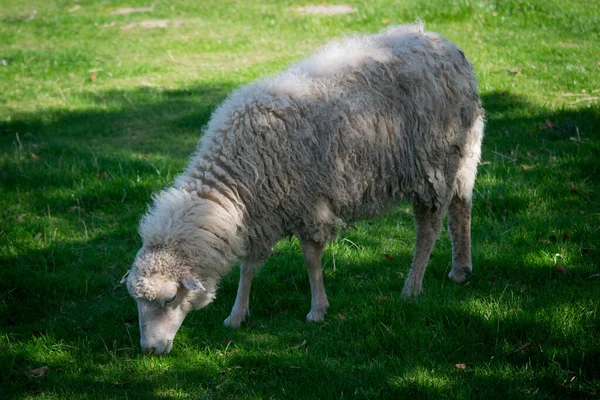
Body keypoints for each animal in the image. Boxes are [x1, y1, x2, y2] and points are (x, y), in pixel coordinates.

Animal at [120, 21, 482, 354]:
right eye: (136, 301)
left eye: (170, 299)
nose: (150, 350)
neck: (233, 179)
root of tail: (442, 44)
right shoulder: (260, 214)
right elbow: (248, 267)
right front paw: (237, 314)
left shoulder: (311, 204)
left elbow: (311, 260)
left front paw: (317, 309)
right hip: (463, 156)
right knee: (462, 207)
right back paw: (461, 269)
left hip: (434, 165)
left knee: (429, 228)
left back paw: (412, 287)